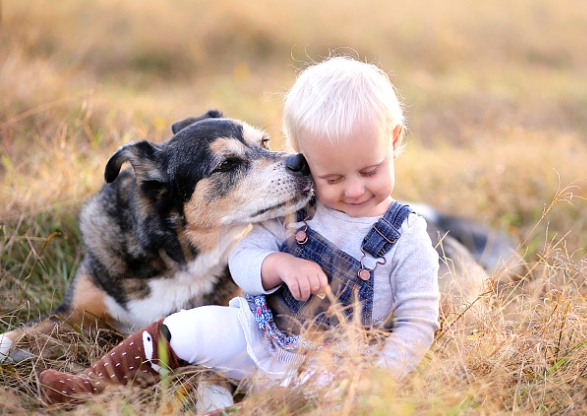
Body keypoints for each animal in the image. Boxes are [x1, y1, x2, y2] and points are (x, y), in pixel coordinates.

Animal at [0, 109, 316, 360]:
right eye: (226, 164)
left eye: (264, 142)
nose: (302, 161)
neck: (175, 258)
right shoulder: (70, 313)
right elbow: (18, 334)